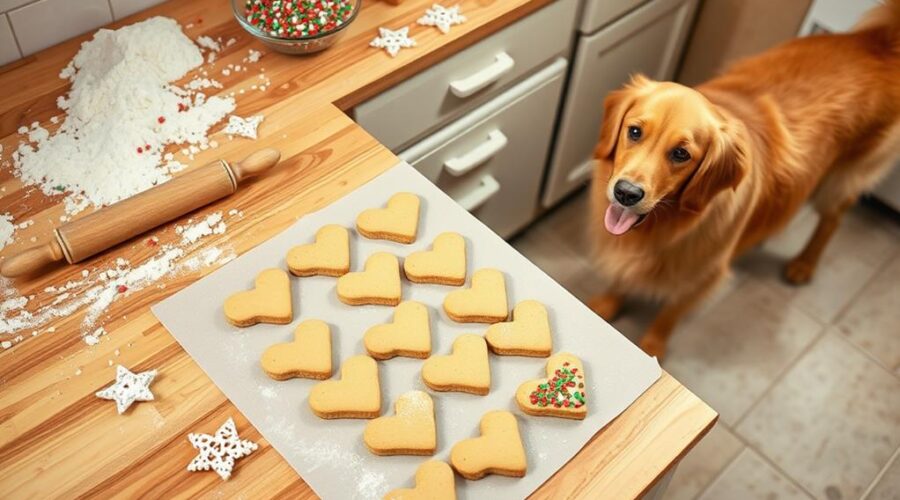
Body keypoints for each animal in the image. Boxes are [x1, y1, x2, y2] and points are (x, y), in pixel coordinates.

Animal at [592, 0, 900, 360]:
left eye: (681, 154)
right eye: (634, 131)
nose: (626, 193)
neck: (668, 225)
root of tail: (876, 41)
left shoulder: (704, 274)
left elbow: (670, 313)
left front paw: (651, 346)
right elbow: (621, 275)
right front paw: (607, 303)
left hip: (839, 181)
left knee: (832, 220)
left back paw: (804, 264)